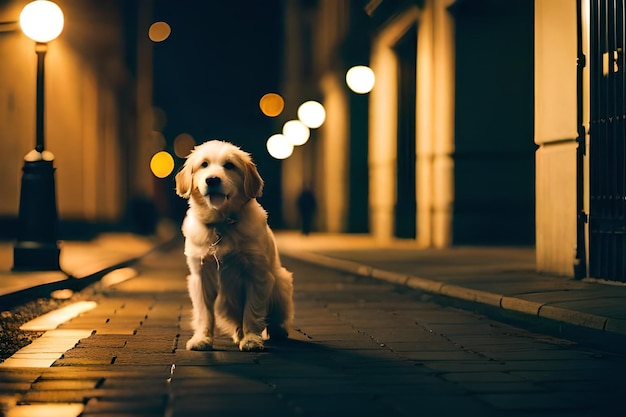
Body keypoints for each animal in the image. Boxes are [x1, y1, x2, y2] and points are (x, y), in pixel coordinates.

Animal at [174, 140, 294, 352]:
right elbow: (204, 313)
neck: (221, 223)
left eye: (229, 165)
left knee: (276, 317)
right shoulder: (200, 276)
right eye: (204, 164)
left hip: (281, 282)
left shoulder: (257, 274)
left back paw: (278, 331)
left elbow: (252, 311)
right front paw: (202, 338)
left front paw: (251, 339)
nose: (212, 180)